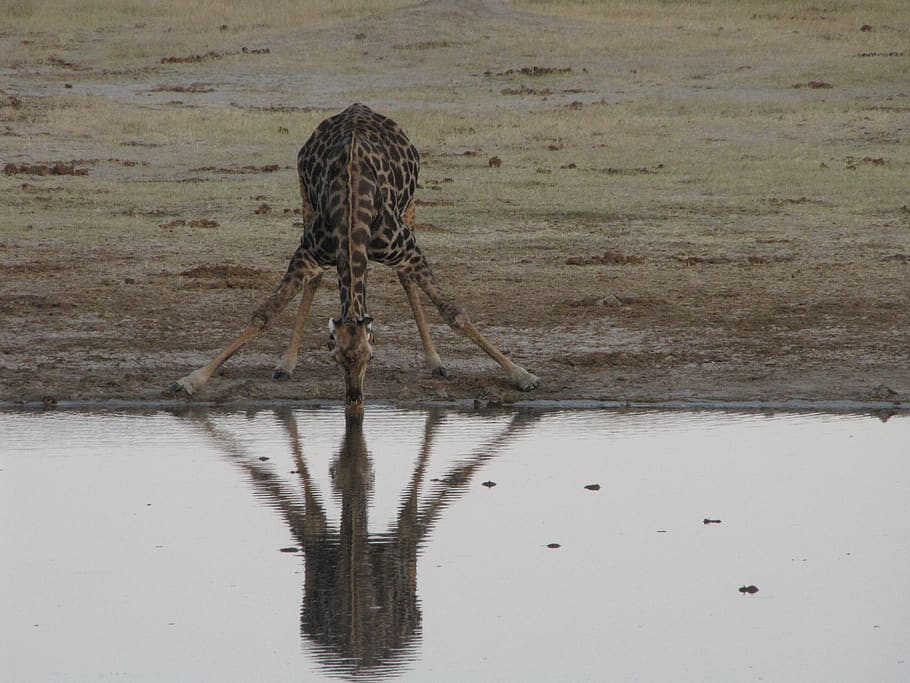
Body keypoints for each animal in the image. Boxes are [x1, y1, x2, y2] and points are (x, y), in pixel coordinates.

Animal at [171, 102, 536, 412]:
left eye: (371, 358)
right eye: (334, 357)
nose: (355, 400)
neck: (351, 207)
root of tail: (358, 107)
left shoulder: (408, 248)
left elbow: (454, 312)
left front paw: (523, 375)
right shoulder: (309, 250)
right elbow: (264, 314)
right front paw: (191, 380)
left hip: (410, 206)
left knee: (405, 280)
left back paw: (436, 362)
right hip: (305, 201)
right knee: (317, 281)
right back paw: (286, 365)